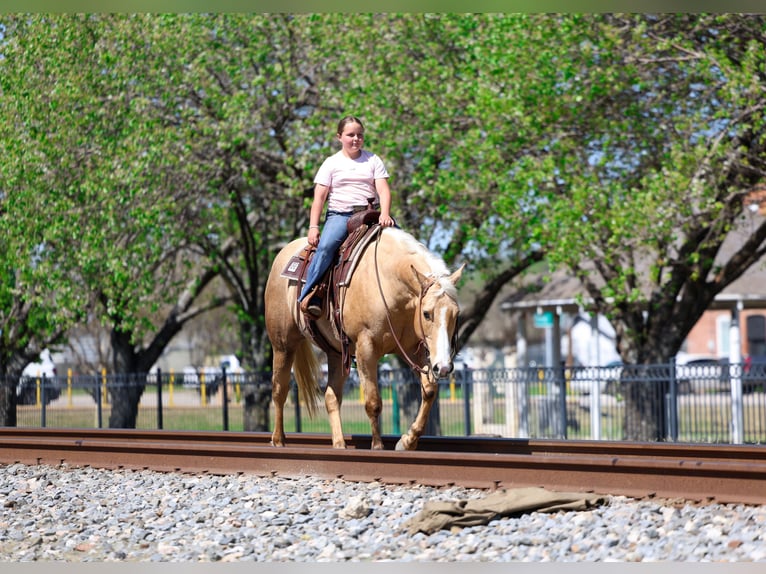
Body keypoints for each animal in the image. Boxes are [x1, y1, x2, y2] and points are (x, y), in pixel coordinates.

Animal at [265, 226, 464, 451]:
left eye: (456, 314)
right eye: (427, 313)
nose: (444, 367)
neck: (388, 283)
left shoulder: (415, 349)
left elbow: (429, 390)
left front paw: (407, 441)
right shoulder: (366, 349)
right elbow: (373, 402)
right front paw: (377, 446)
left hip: (336, 353)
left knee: (331, 396)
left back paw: (339, 444)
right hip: (283, 344)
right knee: (279, 389)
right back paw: (278, 440)